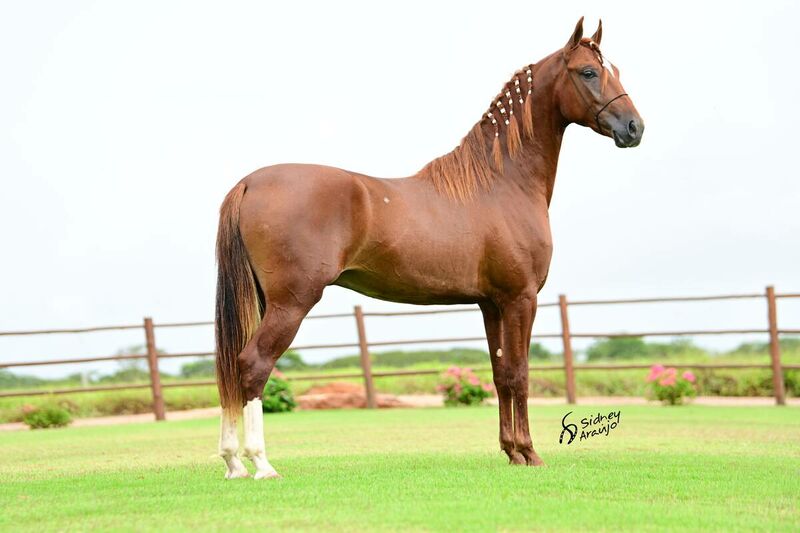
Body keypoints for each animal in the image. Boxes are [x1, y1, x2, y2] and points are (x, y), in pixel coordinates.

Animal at [214, 17, 644, 479]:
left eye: (614, 69)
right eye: (588, 72)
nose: (634, 128)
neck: (502, 182)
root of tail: (250, 182)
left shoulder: (491, 304)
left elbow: (500, 373)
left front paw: (510, 451)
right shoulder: (520, 299)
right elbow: (520, 373)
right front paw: (529, 453)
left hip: (266, 301)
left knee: (233, 368)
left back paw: (233, 462)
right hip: (291, 303)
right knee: (253, 365)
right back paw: (260, 464)